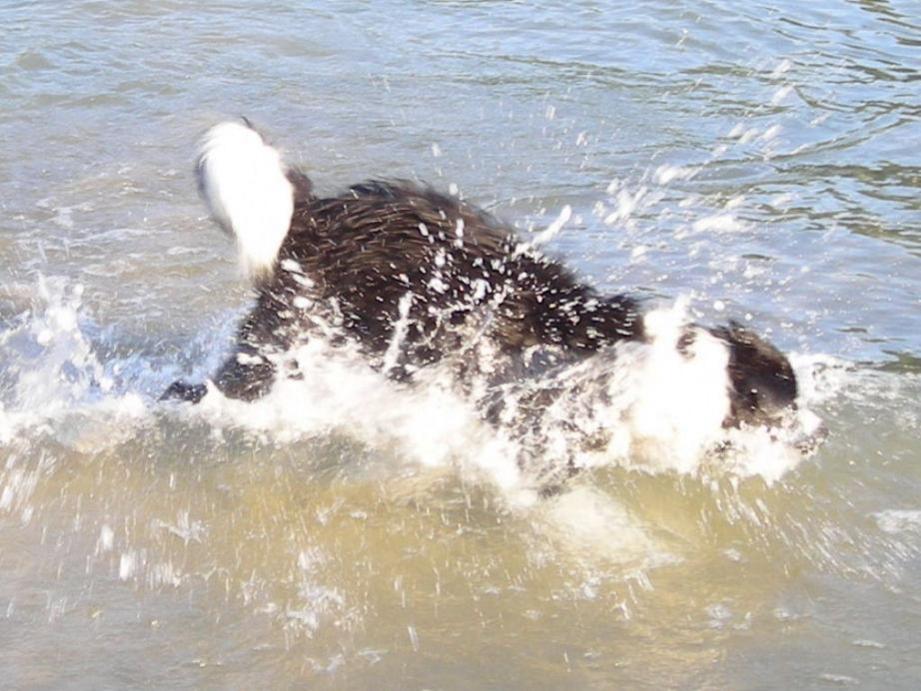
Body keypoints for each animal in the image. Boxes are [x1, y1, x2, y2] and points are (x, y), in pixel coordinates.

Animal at [162, 119, 800, 484]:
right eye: (785, 412)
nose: (815, 437)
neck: (689, 374)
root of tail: (314, 213)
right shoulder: (536, 427)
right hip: (291, 336)